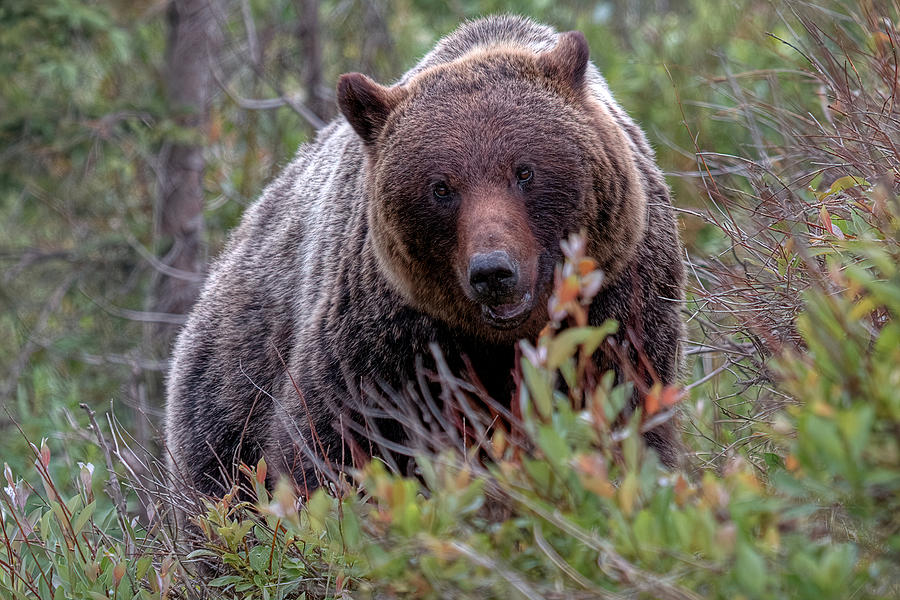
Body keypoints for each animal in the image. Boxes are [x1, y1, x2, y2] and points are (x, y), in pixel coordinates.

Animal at [165, 15, 684, 496]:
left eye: (525, 171)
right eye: (441, 188)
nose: (493, 272)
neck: (500, 339)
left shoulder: (620, 305)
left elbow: (624, 421)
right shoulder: (385, 342)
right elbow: (329, 446)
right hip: (223, 395)